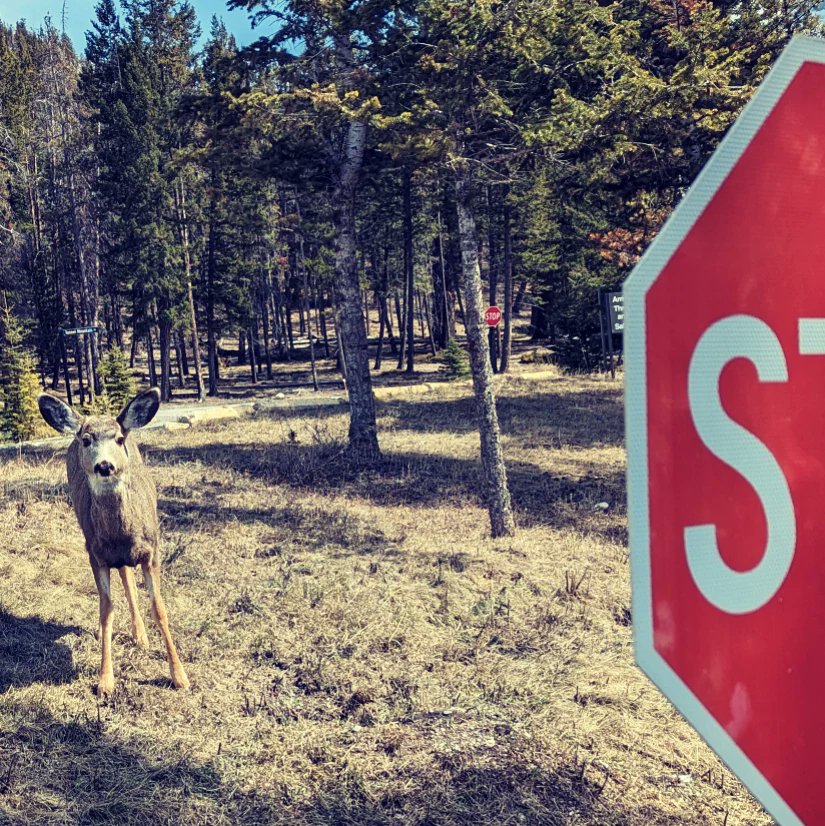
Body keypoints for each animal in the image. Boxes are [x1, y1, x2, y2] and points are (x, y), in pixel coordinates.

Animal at [38, 388, 189, 697]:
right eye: (86, 440)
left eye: (118, 439)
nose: (105, 465)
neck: (122, 535)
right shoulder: (95, 554)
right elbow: (106, 610)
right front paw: (105, 680)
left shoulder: (152, 551)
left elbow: (159, 609)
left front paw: (179, 676)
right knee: (125, 577)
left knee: (129, 580)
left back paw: (141, 636)